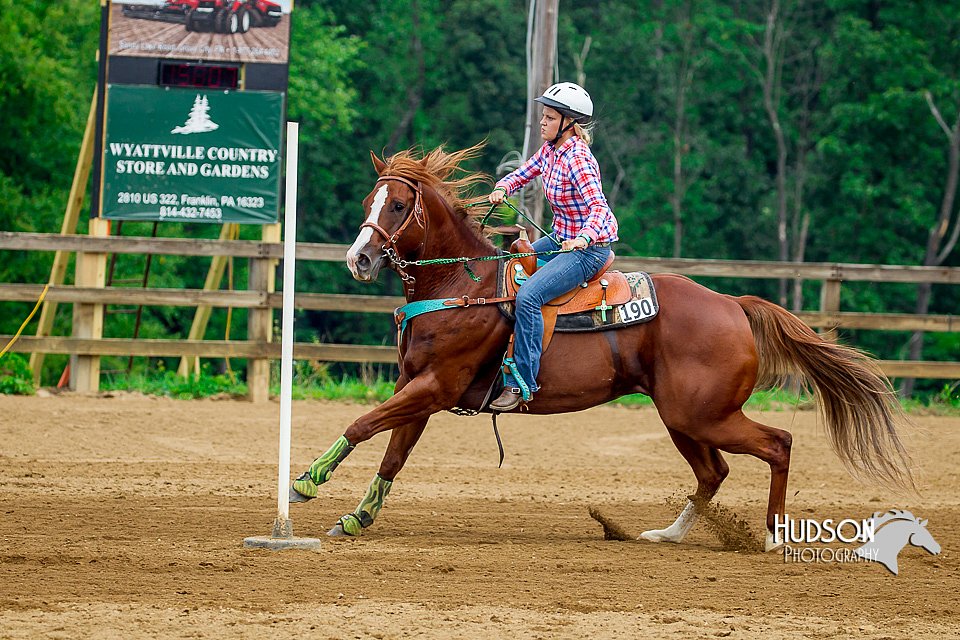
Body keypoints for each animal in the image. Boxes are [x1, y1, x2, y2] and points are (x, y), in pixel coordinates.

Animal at [294, 144, 916, 552]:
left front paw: (306, 482)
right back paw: (667, 534)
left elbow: (362, 424)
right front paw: (356, 518)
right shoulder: (418, 388)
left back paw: (770, 537)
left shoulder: (433, 386)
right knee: (713, 472)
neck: (462, 284)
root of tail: (732, 304)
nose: (359, 259)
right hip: (681, 417)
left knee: (777, 443)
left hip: (704, 413)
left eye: (398, 207)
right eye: (369, 200)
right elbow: (392, 452)